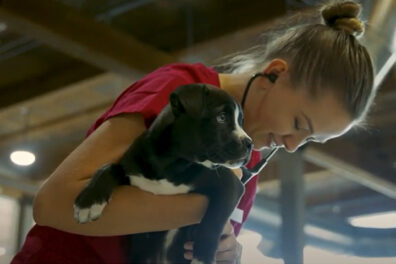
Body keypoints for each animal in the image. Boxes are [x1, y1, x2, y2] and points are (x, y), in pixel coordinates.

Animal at [73, 83, 252, 262]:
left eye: (240, 122)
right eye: (221, 117)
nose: (250, 143)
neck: (170, 164)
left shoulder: (230, 185)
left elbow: (212, 224)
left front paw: (201, 260)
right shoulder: (131, 170)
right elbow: (108, 168)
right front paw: (88, 202)